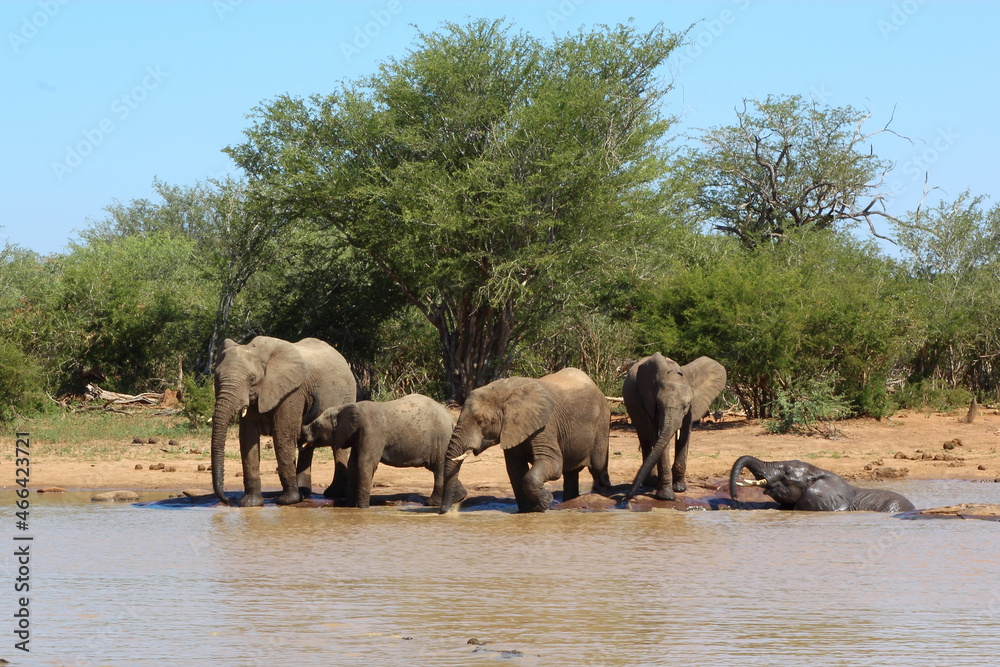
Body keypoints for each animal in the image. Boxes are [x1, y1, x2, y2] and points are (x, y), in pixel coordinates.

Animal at [211, 336, 355, 507]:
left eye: (252, 379)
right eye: (216, 377)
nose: (229, 500)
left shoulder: (292, 391)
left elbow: (282, 434)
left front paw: (288, 501)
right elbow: (247, 438)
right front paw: (250, 504)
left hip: (347, 395)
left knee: (337, 444)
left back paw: (333, 493)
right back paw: (303, 492)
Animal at [300, 394, 465, 508]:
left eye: (316, 426)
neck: (346, 408)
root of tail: (450, 418)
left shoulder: (372, 432)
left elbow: (365, 464)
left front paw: (362, 509)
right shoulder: (358, 435)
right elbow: (353, 465)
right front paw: (350, 508)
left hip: (441, 438)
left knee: (439, 467)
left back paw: (432, 503)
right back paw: (459, 497)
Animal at [439, 367, 611, 514]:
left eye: (481, 421)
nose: (443, 511)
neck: (504, 391)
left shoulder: (545, 426)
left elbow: (552, 464)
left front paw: (544, 504)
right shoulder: (512, 429)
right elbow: (515, 470)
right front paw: (527, 511)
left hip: (602, 422)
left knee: (597, 467)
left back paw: (604, 496)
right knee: (571, 473)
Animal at [622, 353, 727, 502]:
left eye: (685, 405)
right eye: (658, 404)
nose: (626, 497)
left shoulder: (691, 408)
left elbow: (684, 436)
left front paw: (680, 488)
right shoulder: (650, 403)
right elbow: (660, 440)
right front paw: (666, 497)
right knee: (645, 439)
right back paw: (651, 482)